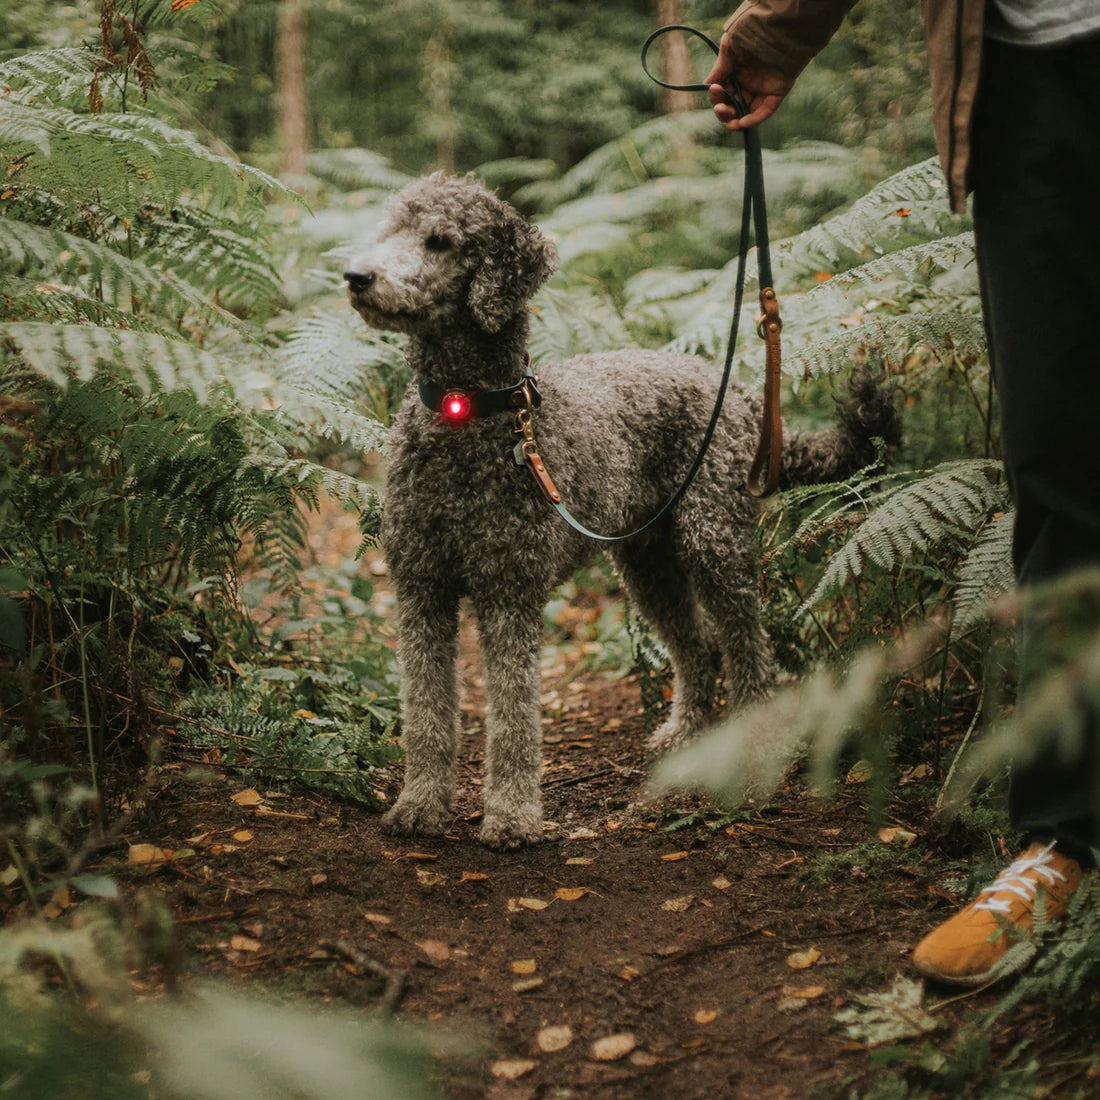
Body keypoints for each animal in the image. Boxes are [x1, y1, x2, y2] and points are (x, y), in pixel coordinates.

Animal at [347, 173, 897, 849]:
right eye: (388, 229)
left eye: (439, 240)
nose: (356, 276)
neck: (466, 415)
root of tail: (738, 391)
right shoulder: (421, 589)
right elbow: (424, 711)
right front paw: (420, 805)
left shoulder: (509, 593)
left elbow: (513, 718)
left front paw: (512, 816)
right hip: (647, 564)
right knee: (697, 649)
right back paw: (686, 733)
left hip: (715, 544)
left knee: (748, 650)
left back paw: (754, 741)